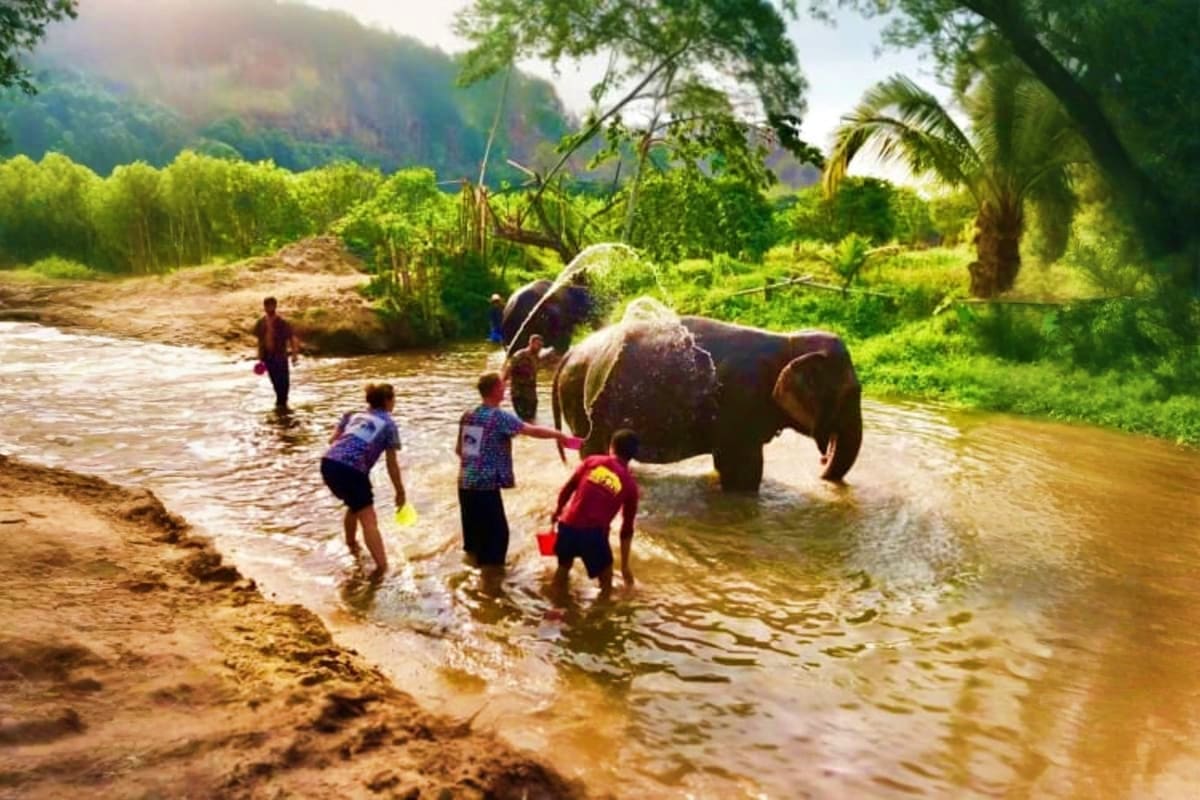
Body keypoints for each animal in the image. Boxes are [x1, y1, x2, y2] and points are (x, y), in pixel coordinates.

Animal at [551, 315, 863, 491]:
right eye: (852, 394)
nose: (821, 463)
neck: (789, 341)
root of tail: (569, 354)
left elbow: (724, 462)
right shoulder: (741, 402)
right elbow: (744, 471)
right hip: (581, 399)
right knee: (591, 448)